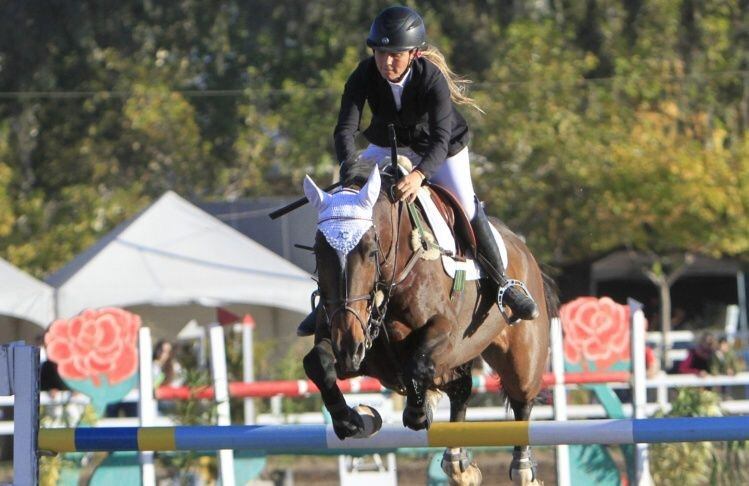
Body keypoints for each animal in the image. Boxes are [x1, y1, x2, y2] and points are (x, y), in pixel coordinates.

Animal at [298, 161, 556, 484]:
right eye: (318, 252)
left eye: (371, 251)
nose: (348, 346)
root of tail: (524, 250)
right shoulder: (352, 348)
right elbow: (317, 363)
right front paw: (355, 419)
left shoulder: (446, 334)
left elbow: (417, 366)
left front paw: (418, 413)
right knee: (461, 390)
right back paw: (458, 464)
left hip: (520, 359)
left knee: (521, 403)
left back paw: (522, 468)